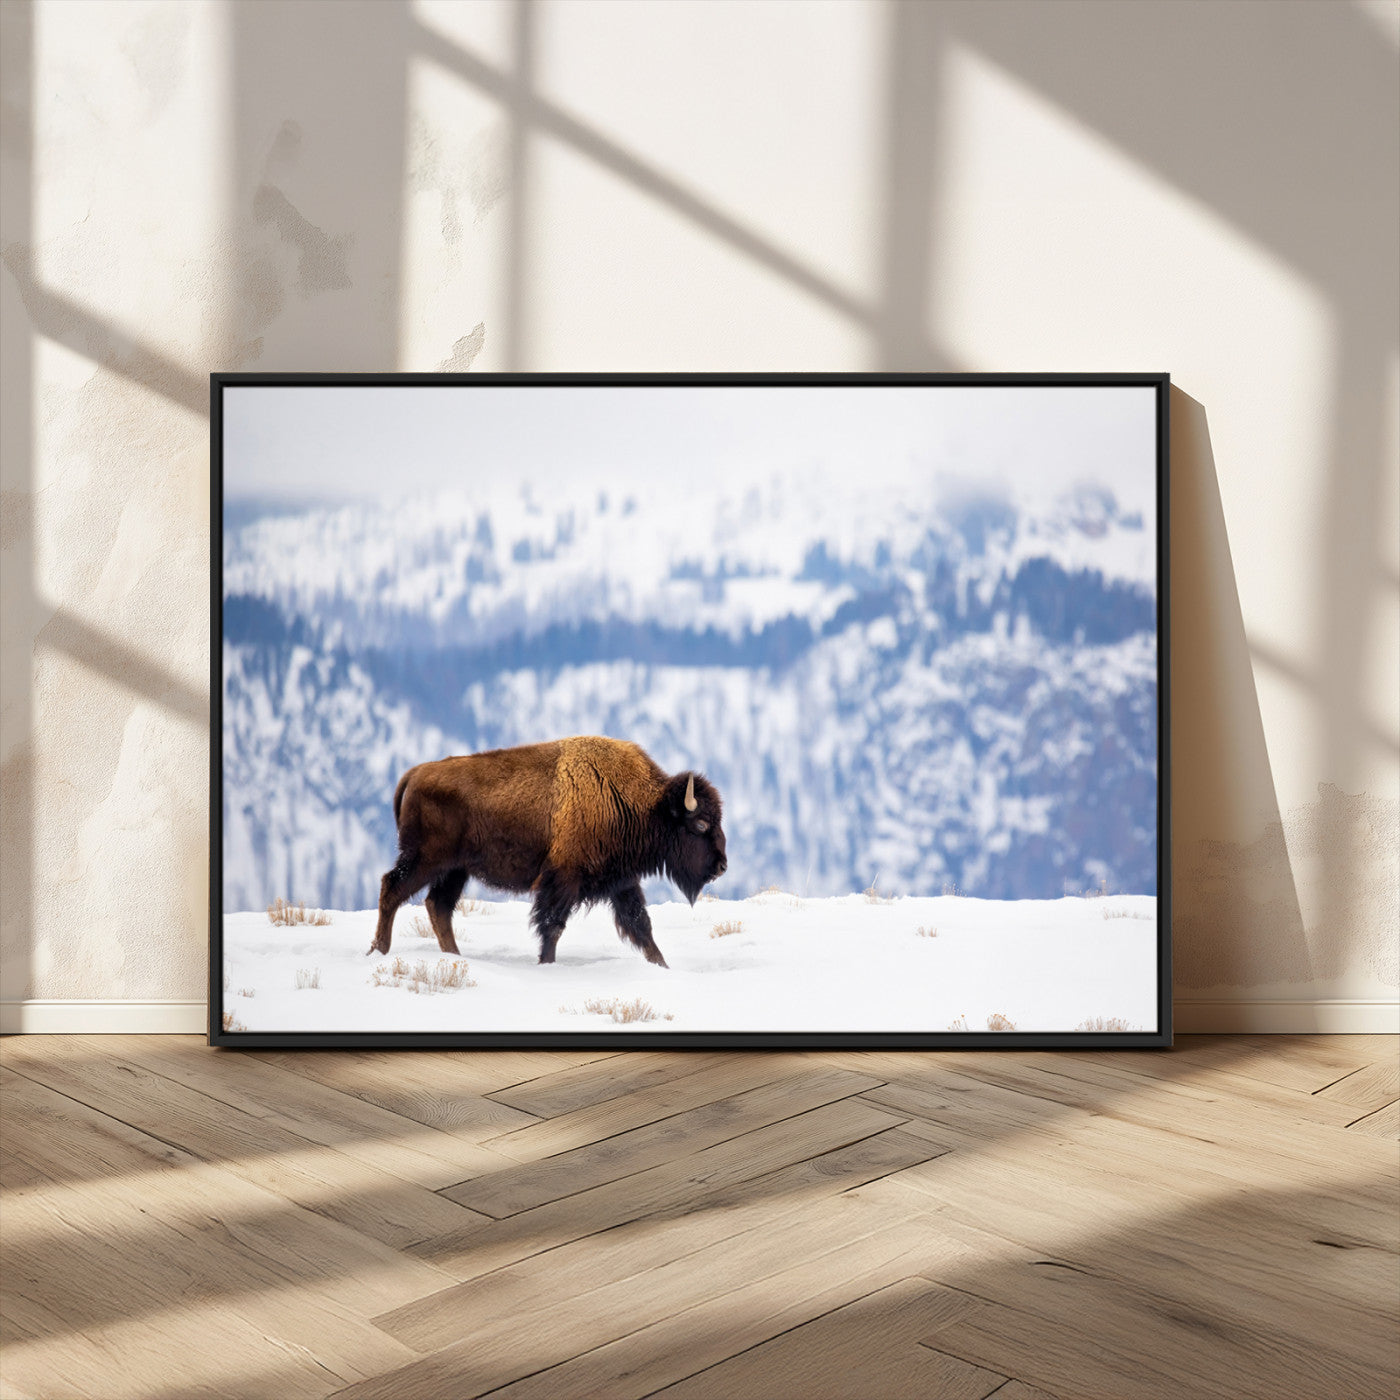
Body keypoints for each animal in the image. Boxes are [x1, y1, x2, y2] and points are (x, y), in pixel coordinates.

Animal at [369, 736, 727, 967]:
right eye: (701, 824)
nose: (722, 866)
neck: (639, 803)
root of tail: (414, 774)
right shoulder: (563, 880)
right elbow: (553, 926)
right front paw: (546, 965)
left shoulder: (622, 882)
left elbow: (641, 926)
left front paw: (663, 966)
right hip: (426, 860)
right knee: (393, 887)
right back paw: (379, 951)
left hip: (455, 869)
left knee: (438, 905)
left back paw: (452, 956)